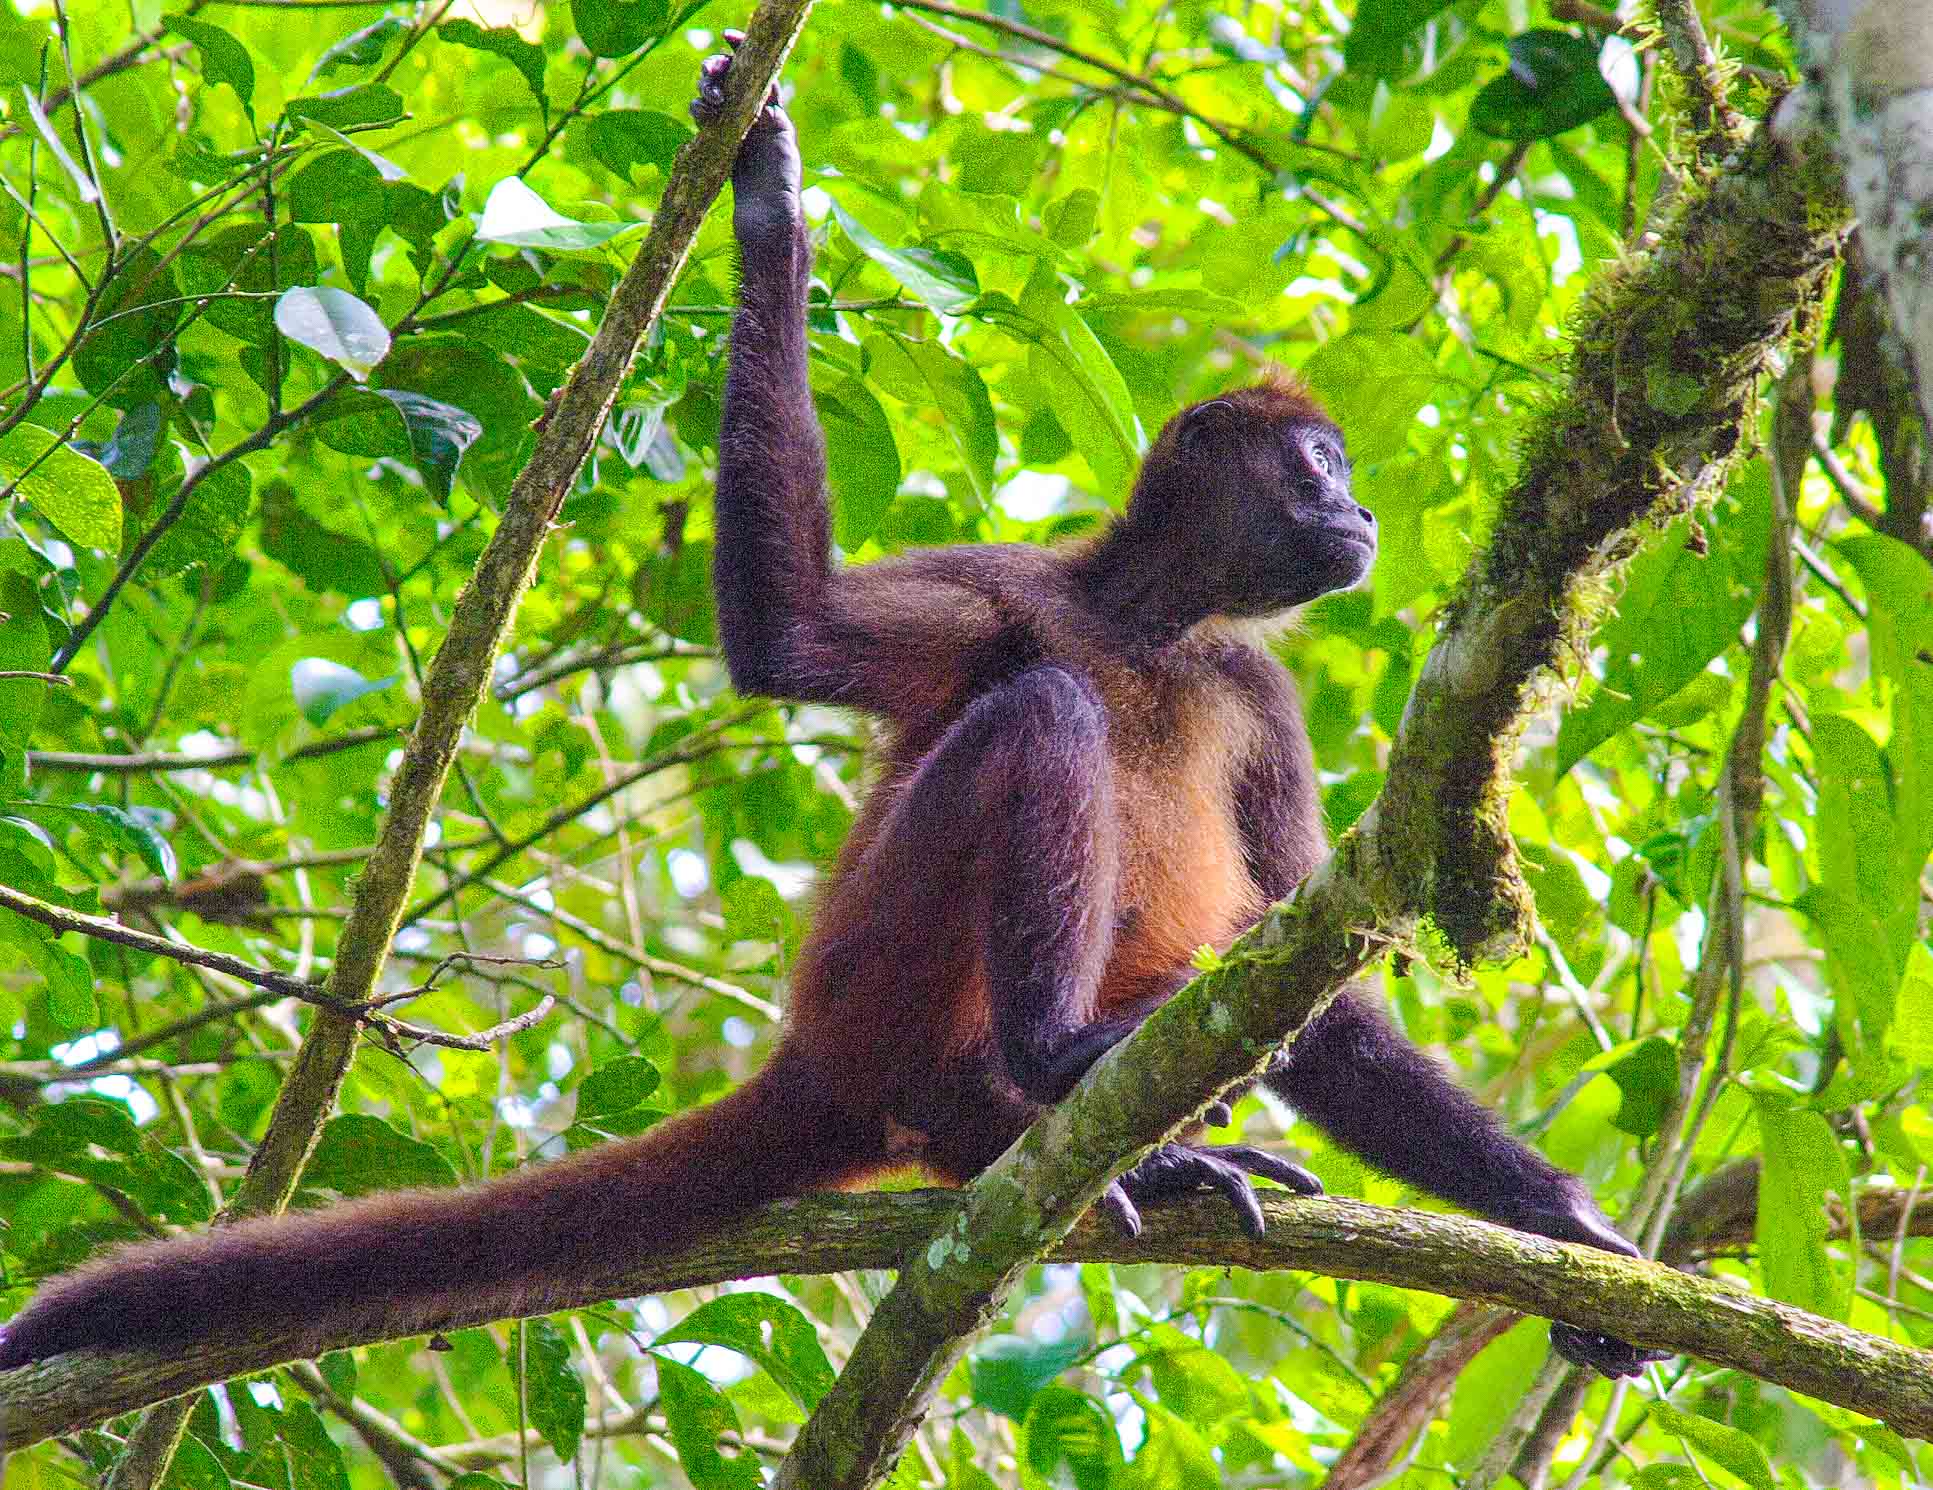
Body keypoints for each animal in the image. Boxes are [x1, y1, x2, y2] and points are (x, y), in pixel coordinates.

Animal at [0, 42, 1666, 1383]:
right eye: (1319, 462)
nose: (1362, 515)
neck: (1153, 623)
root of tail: (813, 1054)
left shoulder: (1258, 690)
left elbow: (1322, 974)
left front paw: (1574, 1232)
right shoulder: (1003, 587)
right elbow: (795, 635)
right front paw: (767, 209)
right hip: (884, 975)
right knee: (1036, 715)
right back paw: (1054, 1065)